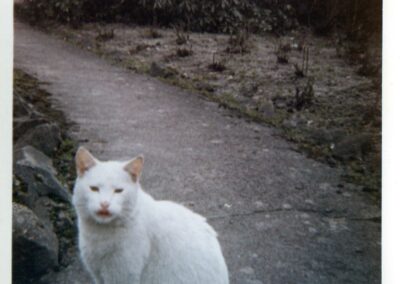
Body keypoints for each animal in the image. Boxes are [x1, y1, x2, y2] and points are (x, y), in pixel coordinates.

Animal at [72, 148, 228, 284]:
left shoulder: (122, 276)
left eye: (118, 191)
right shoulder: (97, 274)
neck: (99, 233)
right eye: (94, 189)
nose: (104, 204)